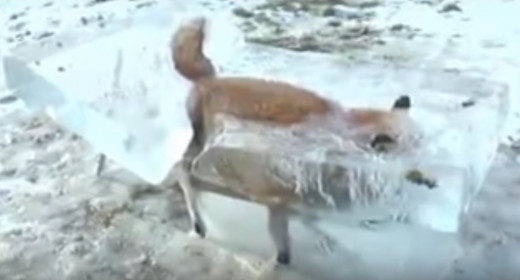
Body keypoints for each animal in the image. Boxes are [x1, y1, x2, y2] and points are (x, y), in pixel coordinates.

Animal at [170, 16, 422, 266]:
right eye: (413, 155)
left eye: (423, 145)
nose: (426, 180)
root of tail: (207, 80)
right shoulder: (278, 196)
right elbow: (284, 246)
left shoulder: (303, 200)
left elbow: (313, 225)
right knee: (182, 171)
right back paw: (199, 222)